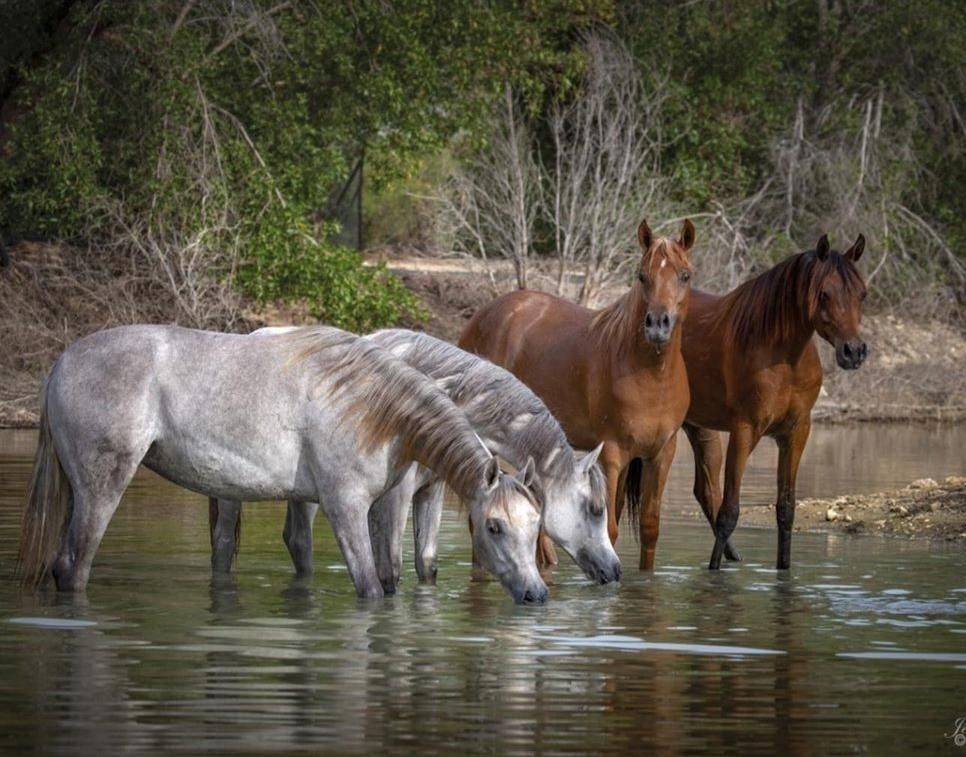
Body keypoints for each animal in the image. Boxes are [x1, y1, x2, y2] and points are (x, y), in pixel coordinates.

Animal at [18, 324, 548, 604]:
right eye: (494, 526)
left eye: (535, 523)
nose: (537, 593)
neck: (374, 408)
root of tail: (61, 364)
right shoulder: (347, 508)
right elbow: (372, 587)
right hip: (101, 491)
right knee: (75, 566)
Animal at [211, 328, 620, 588]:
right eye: (595, 509)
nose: (615, 570)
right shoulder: (396, 497)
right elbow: (391, 568)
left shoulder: (432, 491)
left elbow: (426, 564)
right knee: (230, 541)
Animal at [460, 217, 696, 568]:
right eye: (643, 275)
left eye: (684, 275)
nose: (657, 324)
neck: (650, 376)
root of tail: (479, 318)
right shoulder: (611, 456)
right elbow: (609, 530)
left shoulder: (661, 454)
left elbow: (650, 528)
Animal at [684, 233, 872, 568]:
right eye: (824, 294)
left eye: (861, 294)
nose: (854, 351)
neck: (783, 357)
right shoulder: (744, 431)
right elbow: (729, 513)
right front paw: (714, 574)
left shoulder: (795, 433)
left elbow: (786, 510)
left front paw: (783, 572)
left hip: (699, 428)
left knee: (705, 491)